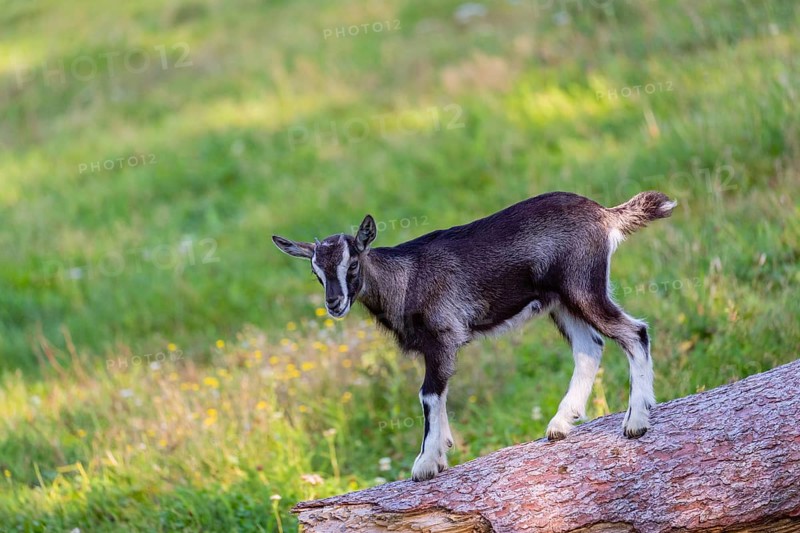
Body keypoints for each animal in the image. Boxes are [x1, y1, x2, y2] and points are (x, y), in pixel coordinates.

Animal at [273, 191, 676, 481]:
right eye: (315, 273)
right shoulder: (437, 346)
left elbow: (428, 395)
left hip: (582, 286)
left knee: (634, 332)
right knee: (589, 348)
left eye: (352, 263)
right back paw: (560, 425)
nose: (334, 303)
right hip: (561, 301)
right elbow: (439, 395)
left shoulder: (442, 336)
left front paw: (425, 463)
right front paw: (442, 451)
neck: (406, 278)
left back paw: (636, 422)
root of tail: (605, 214)